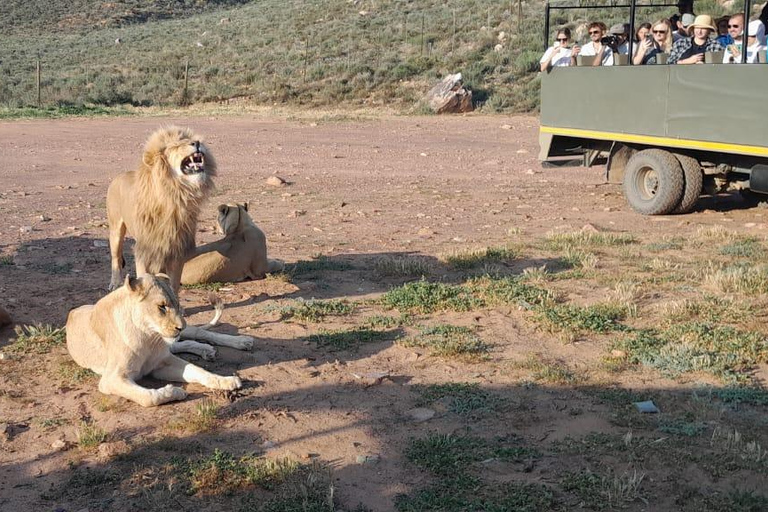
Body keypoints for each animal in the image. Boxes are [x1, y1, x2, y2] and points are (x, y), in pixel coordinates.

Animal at [66, 274, 242, 406]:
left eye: (177, 304)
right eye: (162, 306)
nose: (181, 327)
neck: (148, 338)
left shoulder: (162, 362)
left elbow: (197, 370)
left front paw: (227, 381)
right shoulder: (111, 379)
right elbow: (148, 397)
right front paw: (174, 391)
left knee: (199, 332)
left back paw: (242, 342)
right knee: (181, 343)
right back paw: (207, 350)